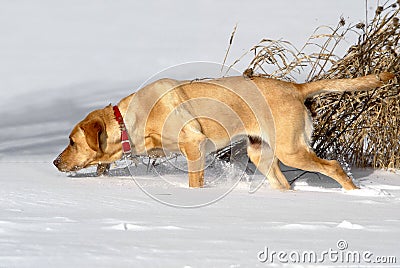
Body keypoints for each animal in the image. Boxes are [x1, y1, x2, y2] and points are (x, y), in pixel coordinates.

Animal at [53, 73, 394, 189]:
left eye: (71, 141)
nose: (55, 162)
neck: (131, 119)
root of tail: (296, 88)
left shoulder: (193, 143)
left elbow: (194, 182)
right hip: (260, 153)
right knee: (284, 184)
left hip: (291, 150)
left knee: (334, 166)